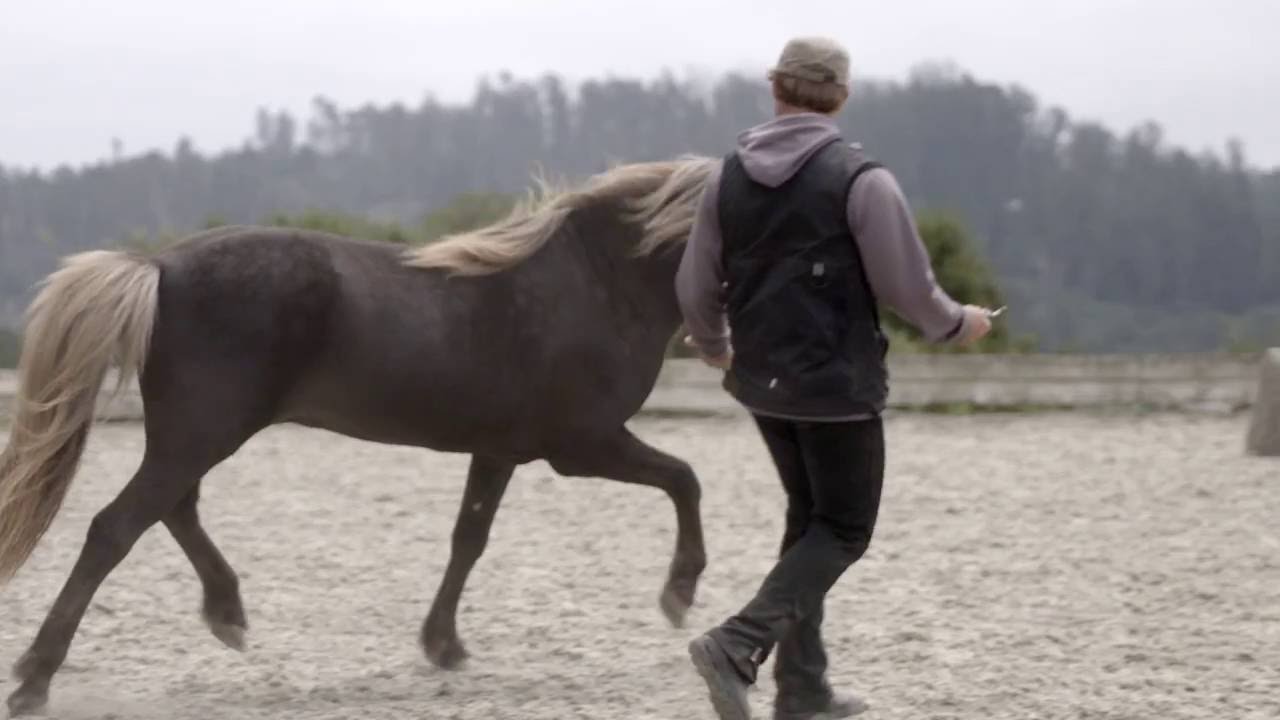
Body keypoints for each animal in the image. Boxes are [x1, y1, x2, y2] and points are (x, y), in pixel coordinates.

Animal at [0, 154, 719, 716]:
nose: (723, 346)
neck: (597, 284)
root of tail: (158, 268)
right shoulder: (582, 445)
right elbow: (684, 478)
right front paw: (679, 594)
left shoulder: (498, 450)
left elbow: (469, 539)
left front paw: (443, 644)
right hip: (200, 434)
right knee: (116, 528)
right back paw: (35, 679)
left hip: (193, 436)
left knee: (173, 511)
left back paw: (227, 613)